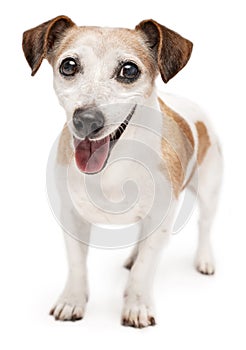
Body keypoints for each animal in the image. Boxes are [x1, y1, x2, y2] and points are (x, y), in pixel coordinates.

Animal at [23, 15, 223, 328]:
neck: (112, 166)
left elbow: (145, 267)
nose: (86, 120)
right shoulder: (72, 217)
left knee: (204, 226)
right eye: (68, 65)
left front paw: (137, 305)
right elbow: (77, 264)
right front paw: (72, 300)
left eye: (128, 70)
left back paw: (204, 260)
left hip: (210, 190)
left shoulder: (161, 219)